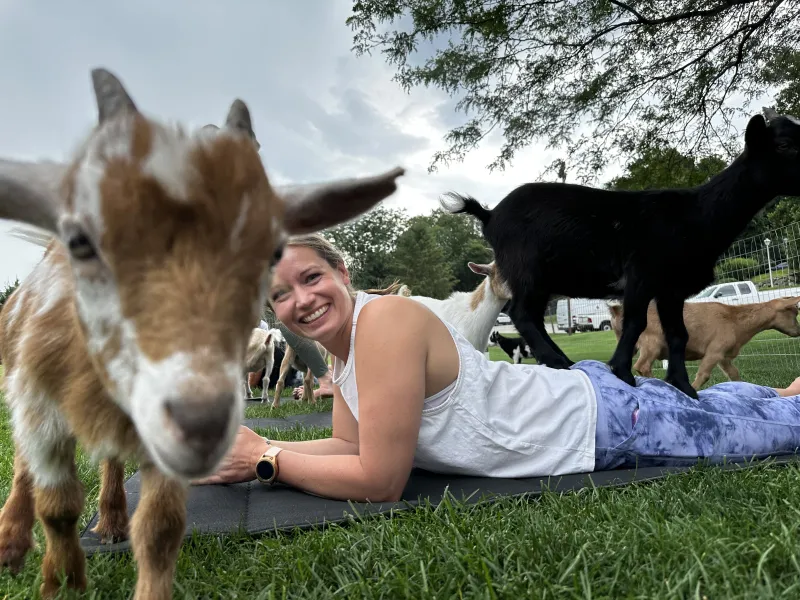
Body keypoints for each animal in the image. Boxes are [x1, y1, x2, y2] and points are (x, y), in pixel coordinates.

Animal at [0, 68, 406, 600]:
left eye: (274, 251)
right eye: (81, 241)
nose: (201, 423)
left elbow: (160, 528)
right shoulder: (40, 408)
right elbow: (58, 507)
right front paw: (62, 582)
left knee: (111, 463)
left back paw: (110, 520)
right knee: (25, 468)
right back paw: (13, 537)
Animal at [608, 298, 800, 392]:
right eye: (794, 312)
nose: (798, 331)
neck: (735, 321)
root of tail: (617, 312)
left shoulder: (723, 356)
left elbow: (734, 374)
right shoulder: (714, 351)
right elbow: (703, 375)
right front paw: (692, 390)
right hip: (651, 342)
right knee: (642, 365)